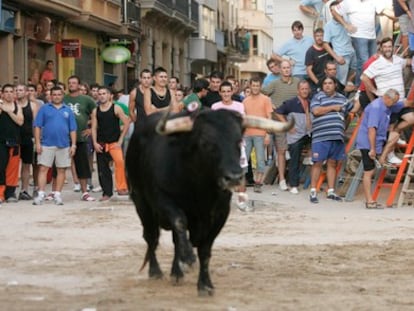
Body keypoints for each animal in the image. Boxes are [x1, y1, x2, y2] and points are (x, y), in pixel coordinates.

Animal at [124, 109, 292, 298]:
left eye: (238, 141)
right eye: (206, 143)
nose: (234, 177)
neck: (200, 188)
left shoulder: (220, 214)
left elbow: (204, 250)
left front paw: (205, 284)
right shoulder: (163, 199)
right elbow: (179, 222)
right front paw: (188, 257)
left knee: (172, 240)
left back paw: (176, 273)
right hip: (141, 203)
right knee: (151, 236)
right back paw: (156, 271)